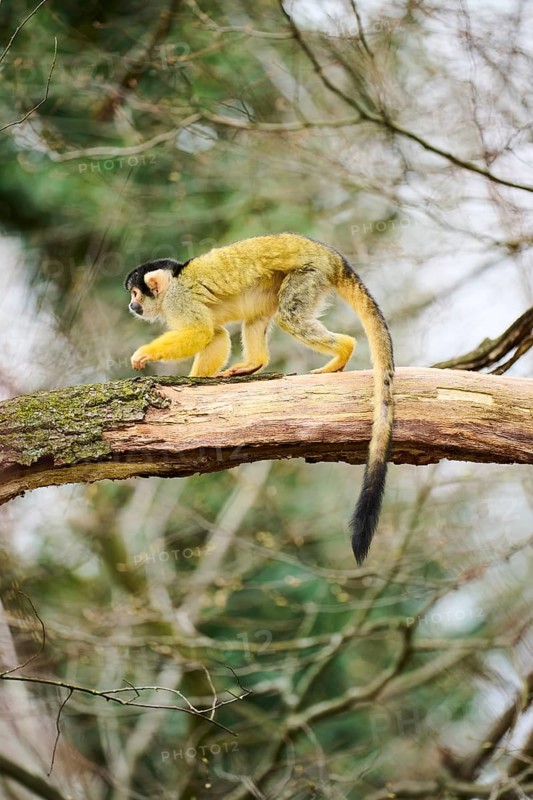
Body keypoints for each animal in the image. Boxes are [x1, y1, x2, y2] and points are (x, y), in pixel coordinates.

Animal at [124, 233, 394, 563]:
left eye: (136, 293)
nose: (132, 304)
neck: (173, 283)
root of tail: (330, 254)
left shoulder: (179, 300)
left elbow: (200, 332)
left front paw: (145, 354)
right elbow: (214, 335)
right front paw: (197, 380)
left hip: (308, 275)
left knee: (290, 316)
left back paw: (343, 349)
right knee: (257, 314)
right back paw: (254, 363)